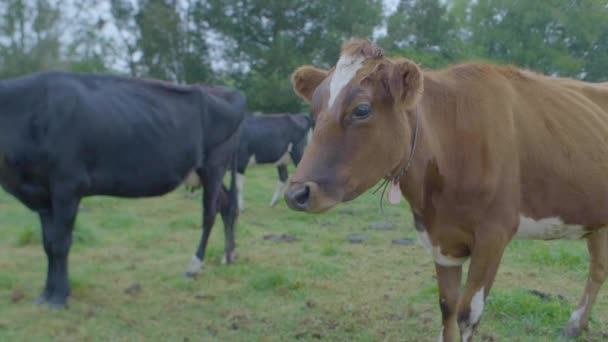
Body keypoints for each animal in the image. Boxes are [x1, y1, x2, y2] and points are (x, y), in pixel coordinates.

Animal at [1, 71, 247, 308]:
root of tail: (223, 90)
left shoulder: (67, 187)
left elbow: (61, 244)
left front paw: (59, 297)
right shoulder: (42, 196)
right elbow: (49, 245)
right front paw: (45, 294)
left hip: (214, 165)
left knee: (210, 213)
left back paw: (194, 266)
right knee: (227, 205)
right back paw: (229, 256)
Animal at [284, 38, 608, 342]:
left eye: (362, 109)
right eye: (314, 110)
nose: (296, 193)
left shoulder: (494, 234)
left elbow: (468, 314)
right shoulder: (440, 238)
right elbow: (447, 306)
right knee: (598, 269)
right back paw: (575, 326)